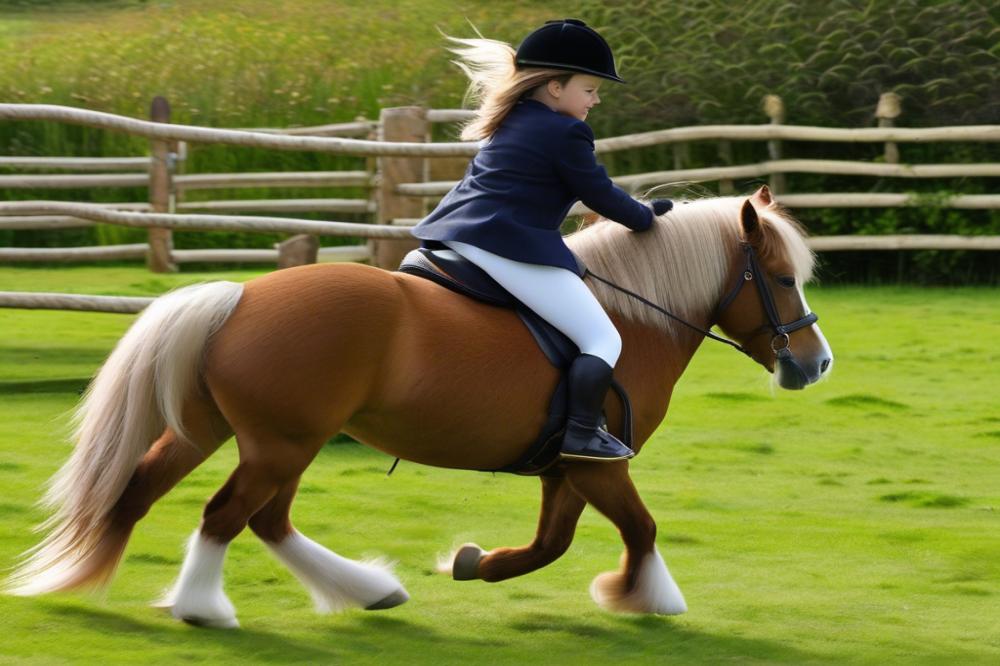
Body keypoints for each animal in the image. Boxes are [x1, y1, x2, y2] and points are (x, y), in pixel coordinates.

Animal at [7, 184, 828, 624]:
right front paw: (646, 597)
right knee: (228, 515)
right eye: (782, 278)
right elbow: (639, 528)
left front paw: (475, 563)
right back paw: (204, 607)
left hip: (235, 435)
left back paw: (366, 589)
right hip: (280, 443)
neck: (635, 316)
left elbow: (550, 544)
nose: (815, 364)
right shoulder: (599, 465)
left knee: (213, 505)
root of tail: (238, 296)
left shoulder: (566, 468)